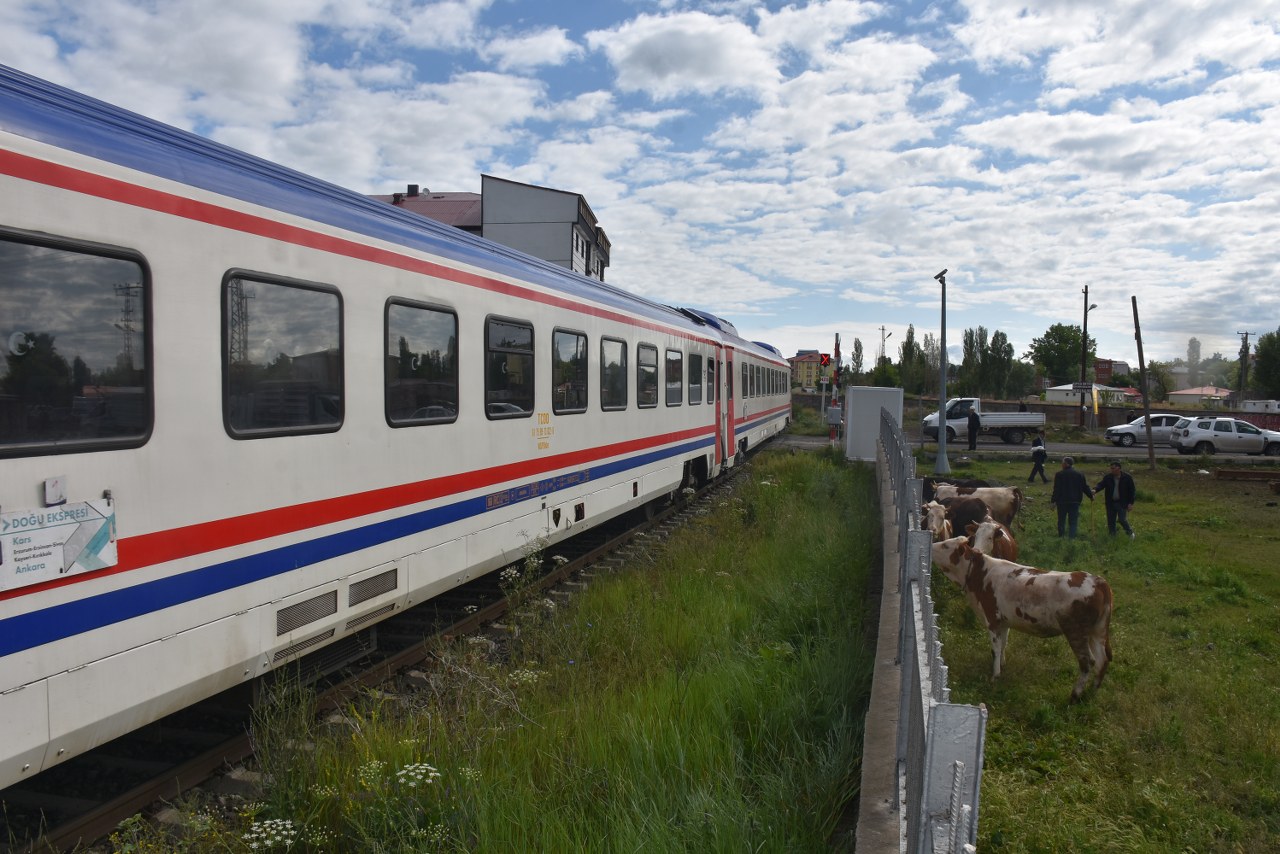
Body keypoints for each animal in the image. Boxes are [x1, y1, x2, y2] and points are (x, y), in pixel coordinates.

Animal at [931, 537, 1111, 706]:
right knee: (1102, 660)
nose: (932, 544)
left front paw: (995, 676)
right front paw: (1001, 666)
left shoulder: (992, 619)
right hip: (1097, 631)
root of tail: (1097, 580)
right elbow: (1003, 644)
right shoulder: (1004, 622)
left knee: (1088, 662)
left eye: (946, 545)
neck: (980, 574)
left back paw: (1075, 695)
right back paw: (1092, 691)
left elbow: (995, 649)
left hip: (1076, 631)